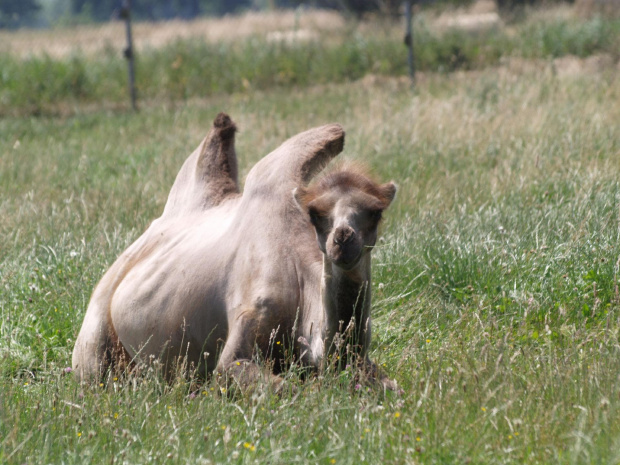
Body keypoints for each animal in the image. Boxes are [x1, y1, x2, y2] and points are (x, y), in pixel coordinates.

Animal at [72, 114, 398, 390]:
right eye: (316, 214)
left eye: (376, 212)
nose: (343, 239)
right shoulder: (245, 327)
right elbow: (277, 385)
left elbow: (390, 386)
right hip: (94, 337)